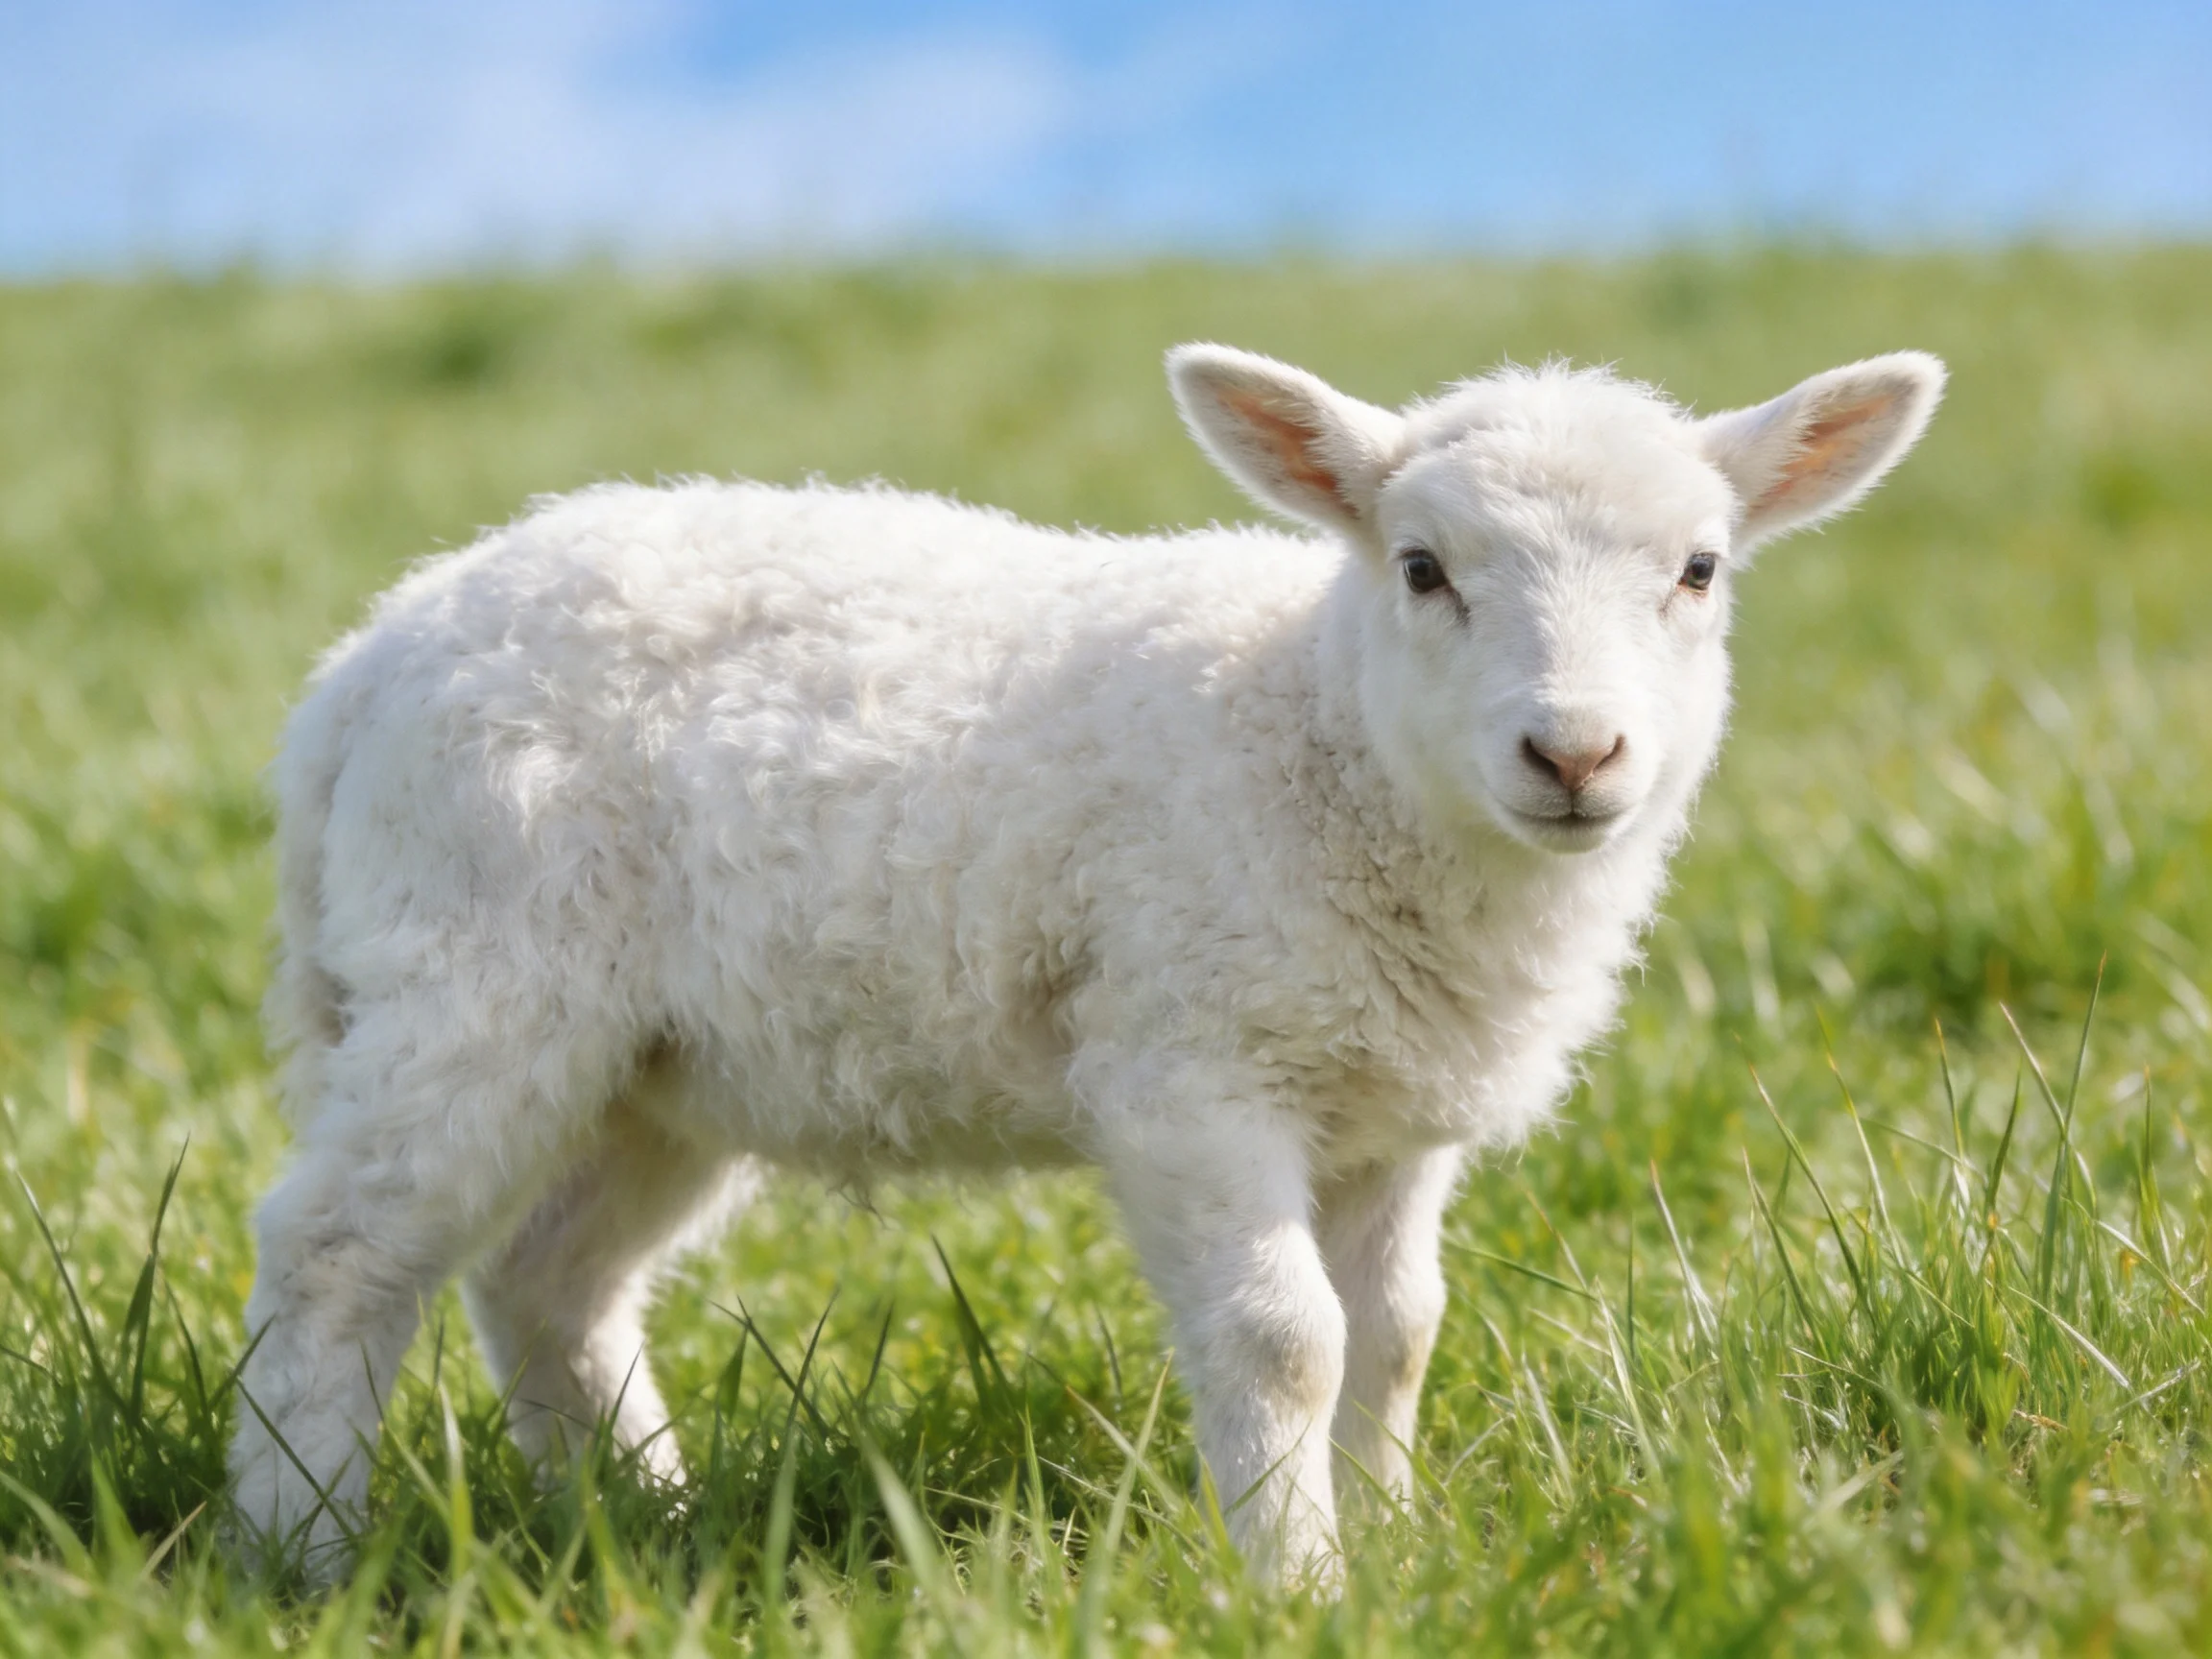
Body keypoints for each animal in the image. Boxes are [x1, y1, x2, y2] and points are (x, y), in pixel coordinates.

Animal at [228, 340, 1944, 1584]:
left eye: (1700, 571)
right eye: (1421, 569)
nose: (1576, 754)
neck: (1319, 739)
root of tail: (366, 660)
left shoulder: (1389, 1110)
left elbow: (1398, 1338)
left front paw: (1393, 1551)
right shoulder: (1191, 1064)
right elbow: (1289, 1339)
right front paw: (1298, 1584)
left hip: (655, 1063)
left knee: (550, 1284)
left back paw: (640, 1522)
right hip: (476, 974)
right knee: (336, 1255)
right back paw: (299, 1554)